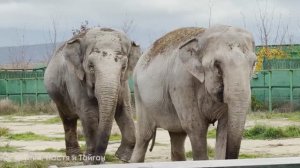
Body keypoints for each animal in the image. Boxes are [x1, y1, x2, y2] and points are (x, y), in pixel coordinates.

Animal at [43, 27, 141, 164]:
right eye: (91, 67)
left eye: (123, 67)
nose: (100, 159)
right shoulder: (75, 78)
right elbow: (89, 113)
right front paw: (91, 161)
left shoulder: (123, 84)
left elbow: (124, 109)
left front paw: (124, 158)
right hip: (58, 96)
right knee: (68, 119)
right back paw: (75, 156)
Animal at [130, 25, 256, 162]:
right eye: (217, 65)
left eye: (254, 63)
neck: (202, 36)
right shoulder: (182, 83)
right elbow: (196, 126)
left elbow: (225, 127)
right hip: (139, 96)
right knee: (144, 136)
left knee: (177, 137)